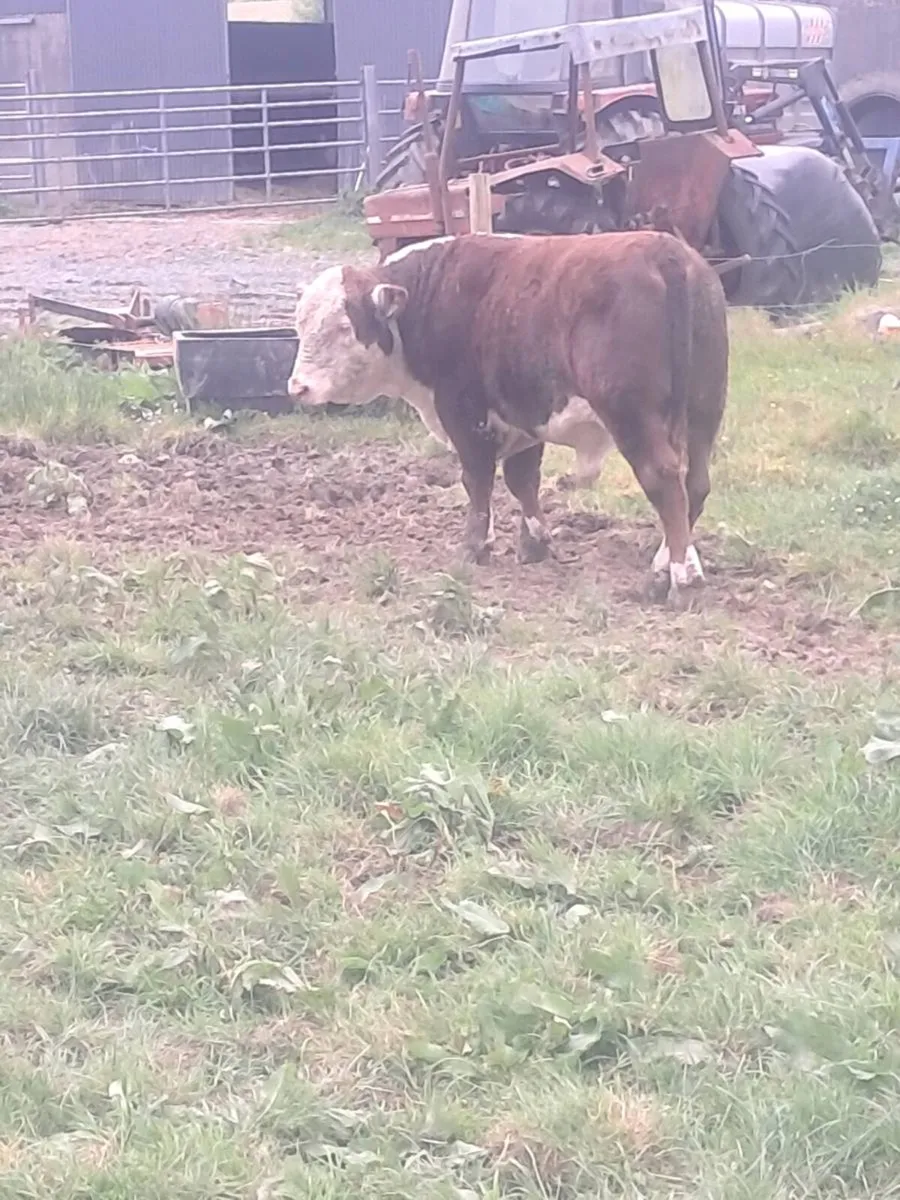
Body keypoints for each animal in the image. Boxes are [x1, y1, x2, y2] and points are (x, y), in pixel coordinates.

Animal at [288, 231, 728, 602]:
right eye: (300, 325)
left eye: (345, 326)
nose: (297, 387)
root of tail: (664, 250)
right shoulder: (523, 415)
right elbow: (522, 479)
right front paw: (534, 542)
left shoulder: (464, 412)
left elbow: (478, 480)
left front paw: (475, 546)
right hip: (703, 411)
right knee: (695, 485)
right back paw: (667, 566)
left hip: (633, 417)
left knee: (664, 481)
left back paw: (678, 579)